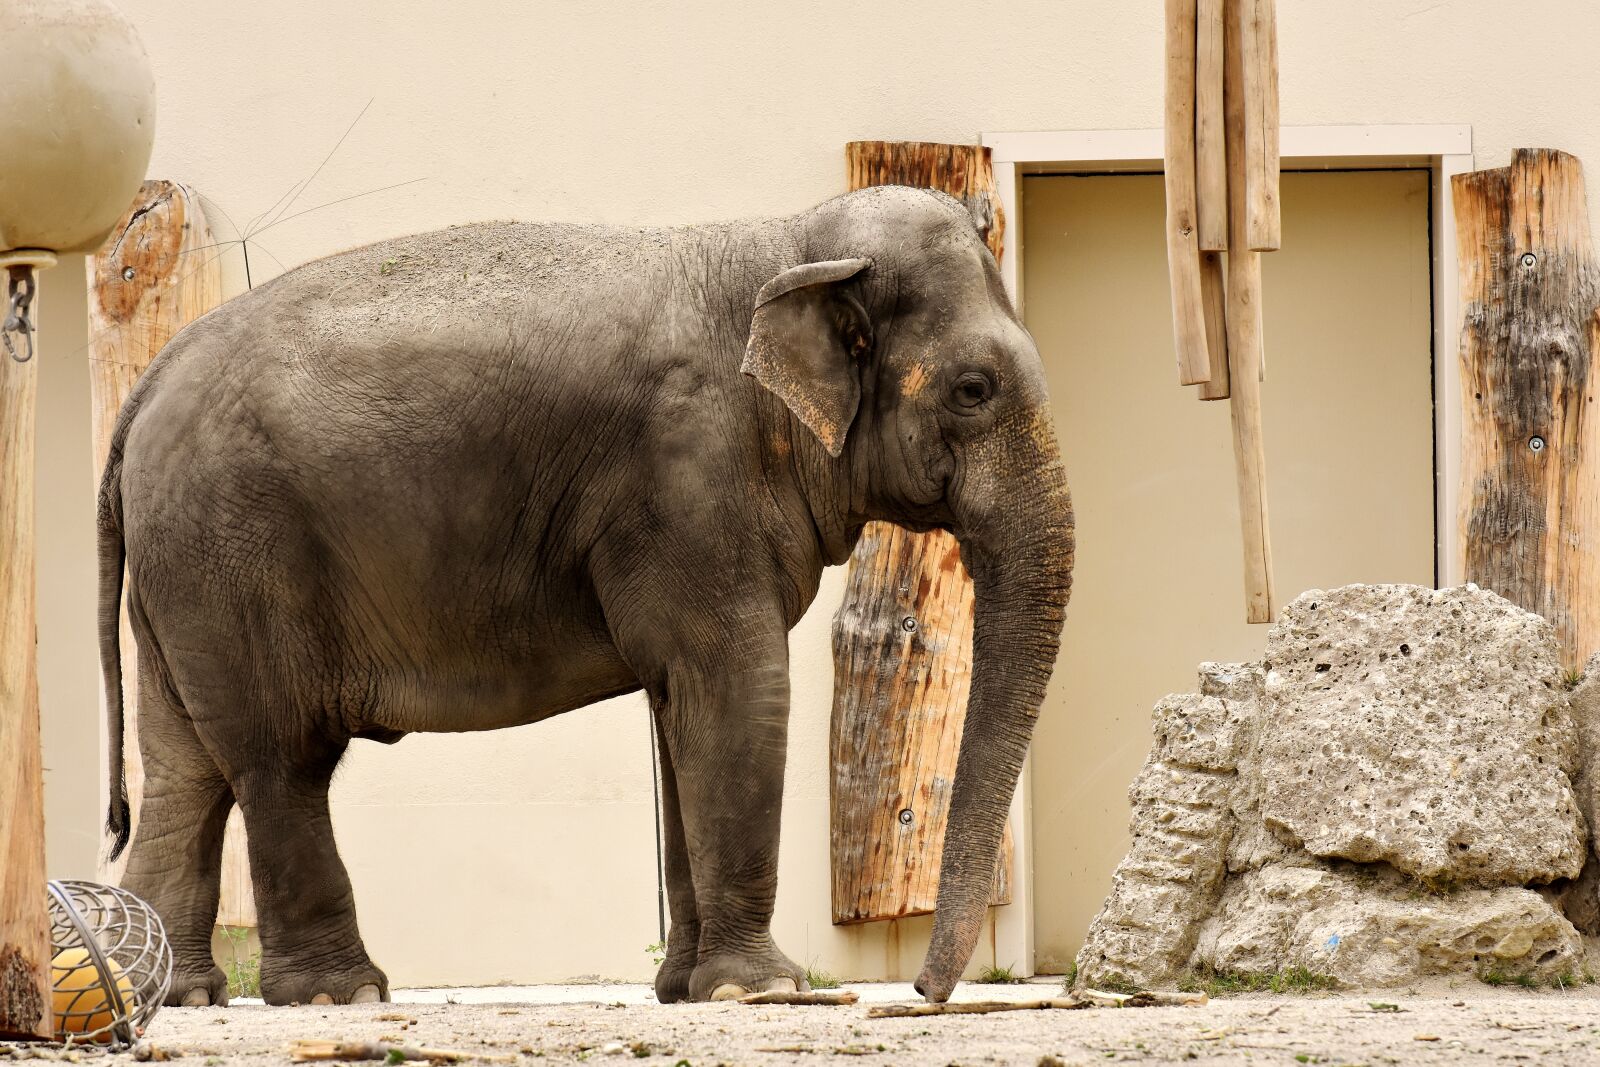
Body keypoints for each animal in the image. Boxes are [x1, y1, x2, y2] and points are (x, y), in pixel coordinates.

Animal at [98, 185, 1075, 1008]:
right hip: (234, 552)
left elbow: (683, 709)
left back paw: (171, 993)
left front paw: (686, 991)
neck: (789, 239)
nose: (924, 992)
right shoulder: (687, 479)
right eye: (974, 389)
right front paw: (762, 990)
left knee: (186, 766)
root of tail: (145, 387)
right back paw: (339, 996)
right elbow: (739, 688)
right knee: (280, 757)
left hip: (182, 576)